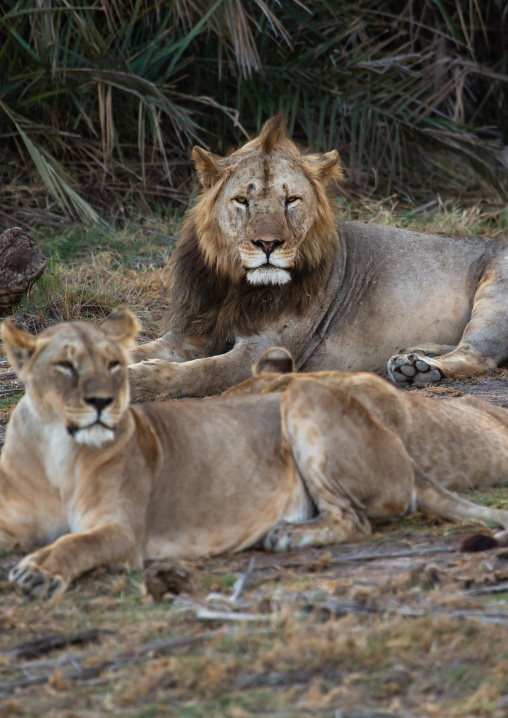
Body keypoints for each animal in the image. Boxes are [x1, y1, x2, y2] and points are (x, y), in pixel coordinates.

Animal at [127, 113, 508, 401]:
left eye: (291, 200)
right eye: (242, 201)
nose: (268, 244)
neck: (234, 286)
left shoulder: (266, 351)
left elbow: (203, 372)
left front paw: (137, 381)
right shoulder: (188, 336)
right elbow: (129, 348)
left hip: (495, 293)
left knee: (479, 354)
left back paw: (421, 369)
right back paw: (413, 357)